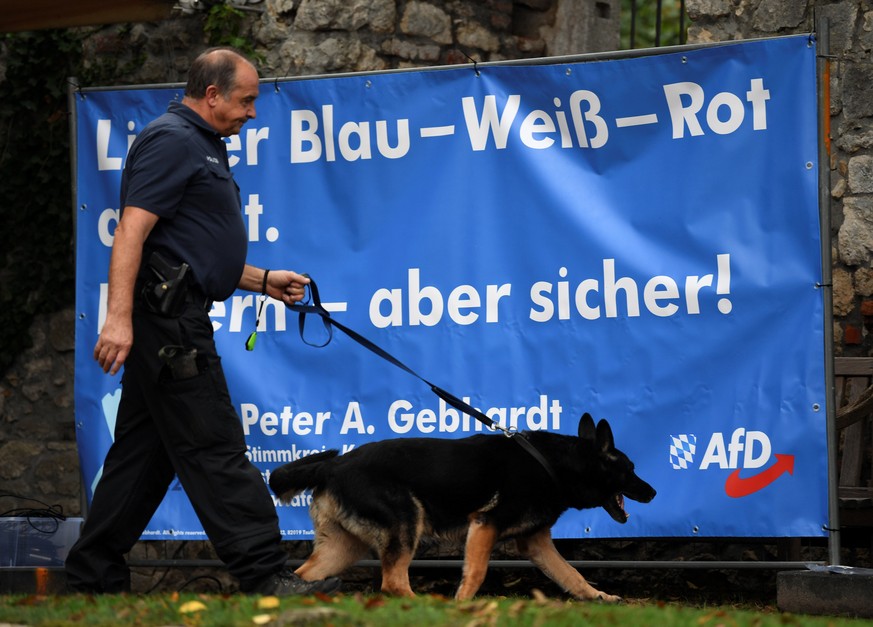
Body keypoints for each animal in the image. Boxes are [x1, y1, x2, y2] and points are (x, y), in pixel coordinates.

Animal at [270, 414, 656, 600]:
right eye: (631, 469)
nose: (653, 493)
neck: (556, 463)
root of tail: (333, 465)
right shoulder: (485, 525)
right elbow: (477, 572)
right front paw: (462, 604)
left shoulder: (536, 543)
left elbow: (571, 574)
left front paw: (599, 596)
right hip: (404, 526)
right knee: (392, 583)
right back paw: (424, 606)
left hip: (343, 548)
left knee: (305, 574)